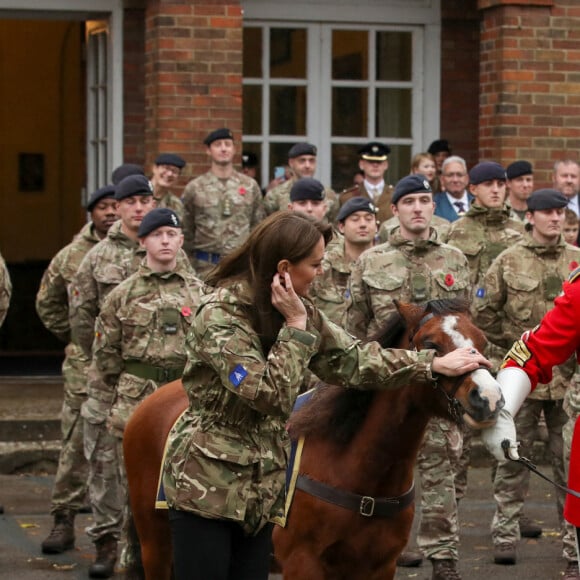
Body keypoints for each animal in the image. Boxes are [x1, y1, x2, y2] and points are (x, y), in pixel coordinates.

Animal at [123, 300, 502, 580]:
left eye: (482, 343)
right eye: (431, 344)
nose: (488, 398)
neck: (359, 470)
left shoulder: (378, 567)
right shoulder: (302, 563)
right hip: (157, 546)